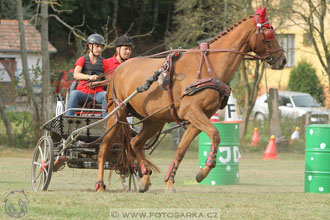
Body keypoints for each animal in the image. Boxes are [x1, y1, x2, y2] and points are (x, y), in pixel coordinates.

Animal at [95, 7, 286, 192]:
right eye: (270, 34)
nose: (283, 60)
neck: (210, 66)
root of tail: (119, 69)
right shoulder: (192, 112)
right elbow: (215, 135)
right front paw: (204, 170)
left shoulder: (199, 117)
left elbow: (182, 149)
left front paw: (171, 181)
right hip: (117, 114)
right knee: (104, 147)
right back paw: (100, 184)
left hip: (154, 120)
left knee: (135, 143)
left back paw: (145, 176)